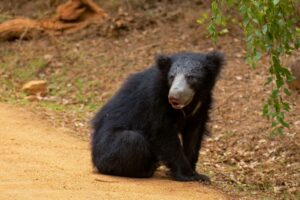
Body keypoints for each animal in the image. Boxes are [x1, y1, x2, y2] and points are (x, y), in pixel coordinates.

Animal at [91, 50, 225, 182]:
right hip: (106, 148)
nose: (173, 97)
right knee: (131, 138)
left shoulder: (202, 105)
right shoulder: (155, 99)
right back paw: (144, 171)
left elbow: (194, 135)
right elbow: (164, 134)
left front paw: (198, 174)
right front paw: (188, 175)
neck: (190, 101)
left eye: (191, 77)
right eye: (172, 77)